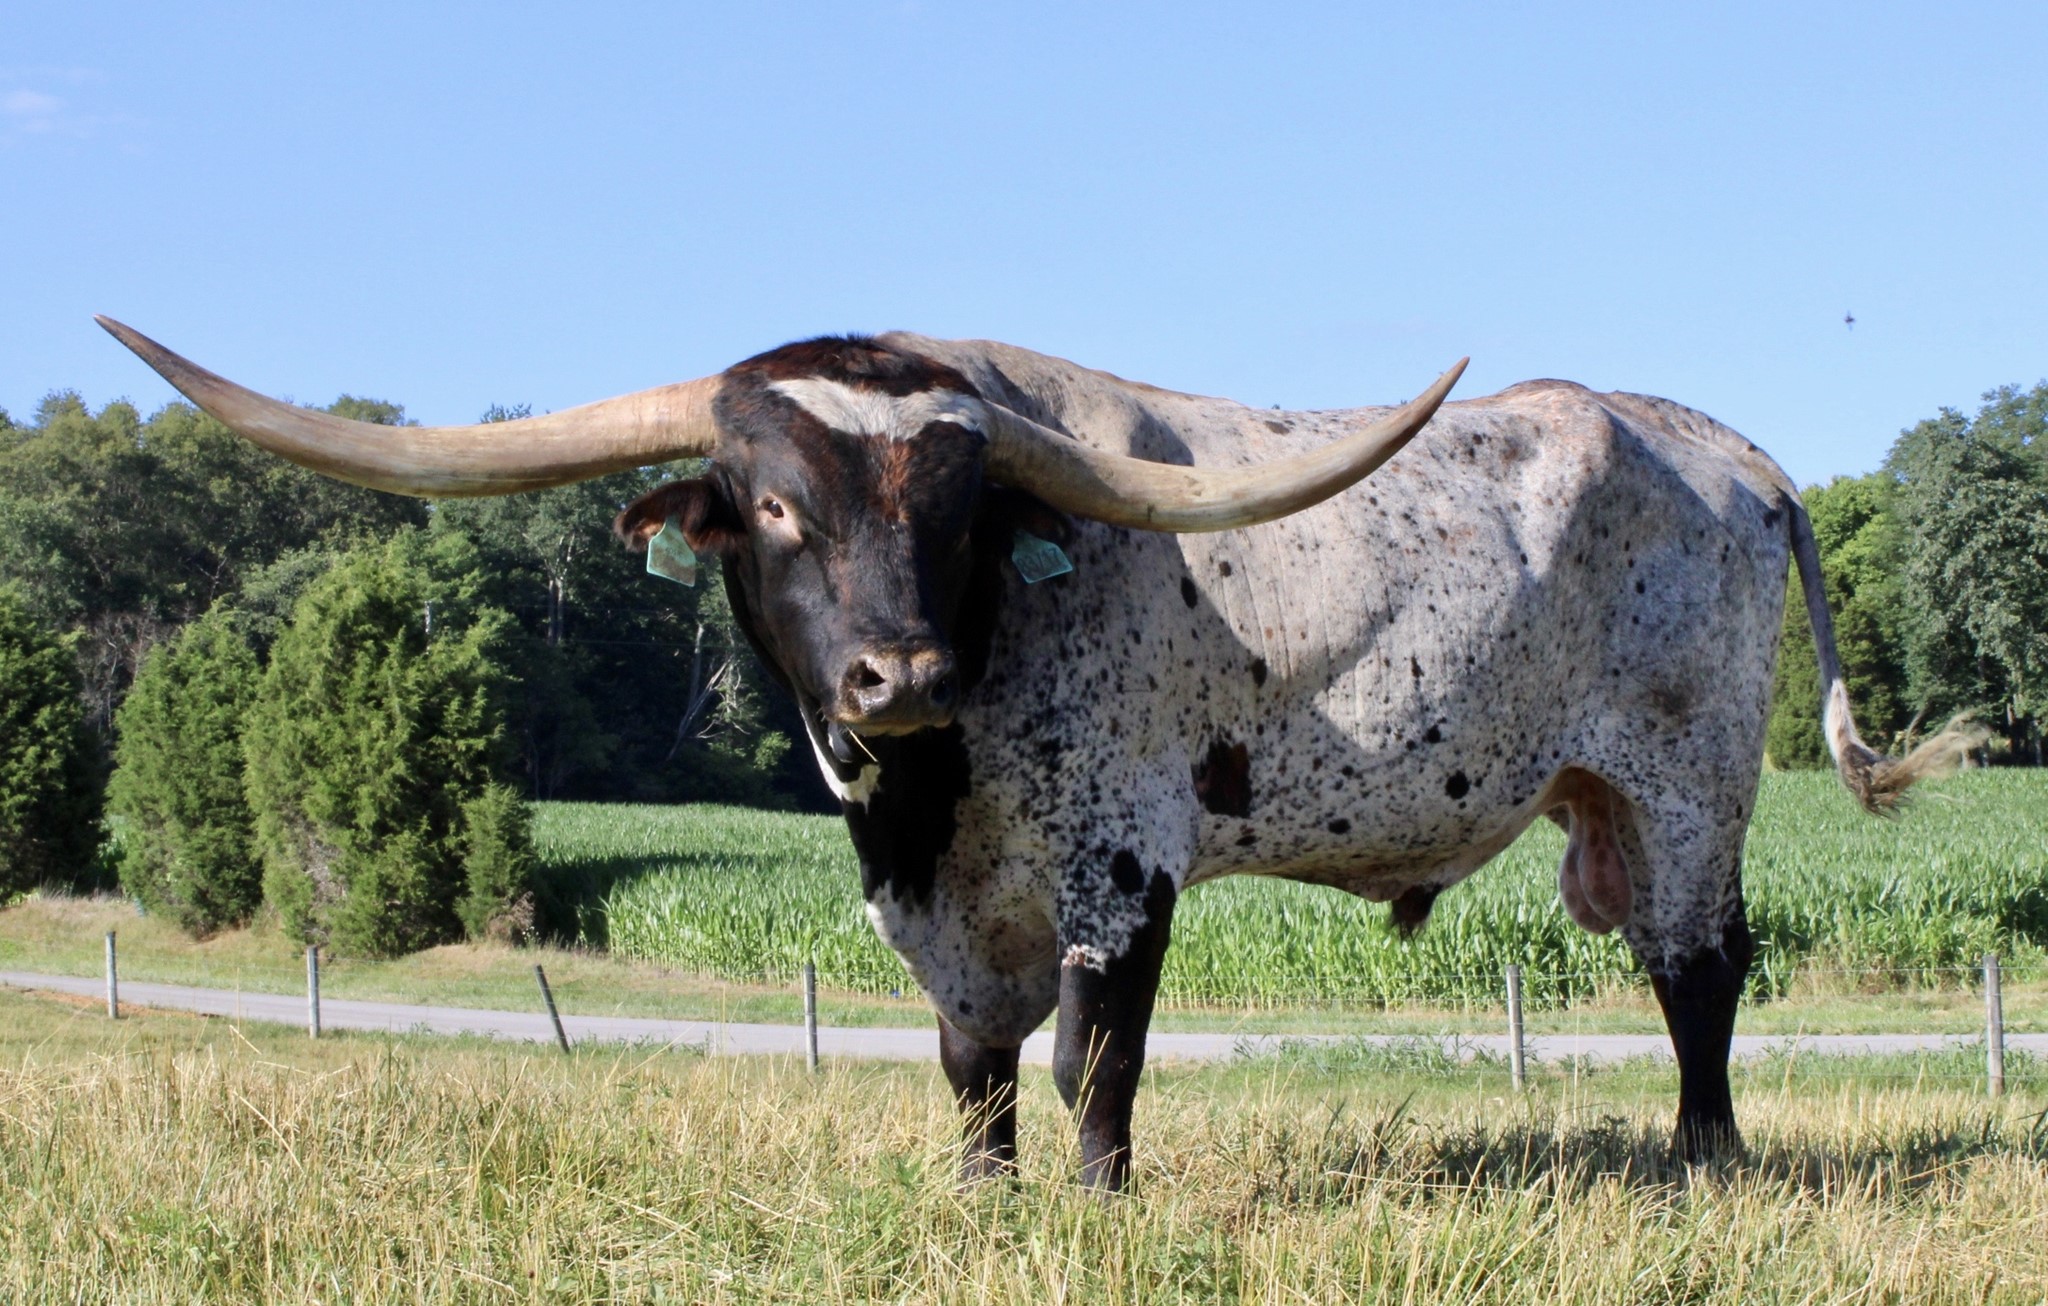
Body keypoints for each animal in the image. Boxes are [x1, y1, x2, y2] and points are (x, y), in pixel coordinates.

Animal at [98, 316, 1975, 1190]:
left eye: (961, 510)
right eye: (772, 505)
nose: (899, 670)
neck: (932, 789)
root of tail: (1723, 449)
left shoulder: (1120, 859)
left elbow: (1094, 1057)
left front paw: (1097, 1200)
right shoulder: (938, 903)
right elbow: (970, 1059)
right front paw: (985, 1196)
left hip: (1690, 782)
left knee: (1699, 971)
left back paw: (1707, 1162)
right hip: (1611, 799)